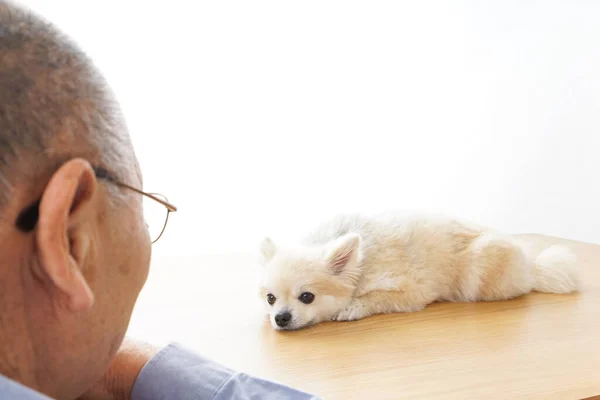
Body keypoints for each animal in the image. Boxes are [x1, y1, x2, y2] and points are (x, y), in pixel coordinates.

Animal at [256, 212, 576, 332]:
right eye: (271, 299)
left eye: (306, 297)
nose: (281, 318)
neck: (361, 262)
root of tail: (531, 268)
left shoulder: (412, 291)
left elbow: (377, 298)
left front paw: (352, 307)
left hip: (480, 269)